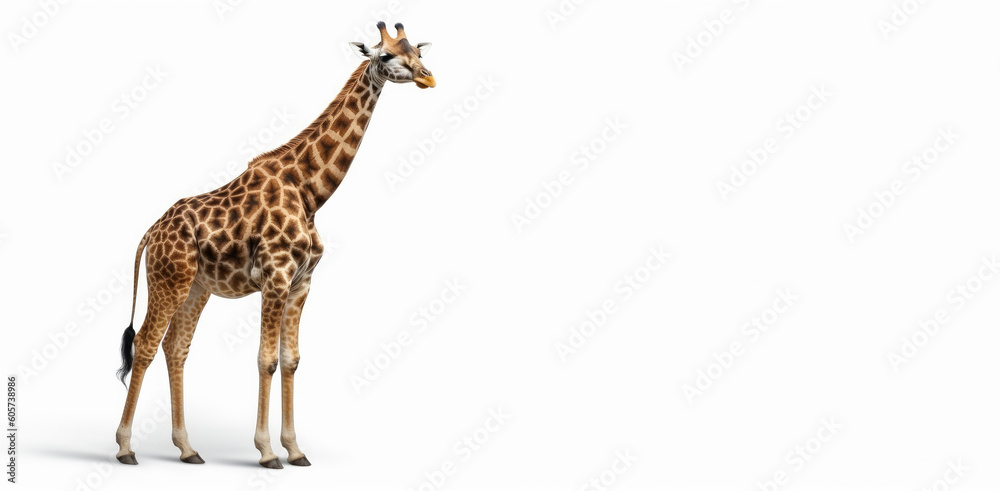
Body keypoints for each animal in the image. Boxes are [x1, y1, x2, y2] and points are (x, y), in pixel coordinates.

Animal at [113, 22, 434, 469]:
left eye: (417, 51)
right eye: (385, 55)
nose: (427, 77)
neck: (310, 193)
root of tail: (150, 232)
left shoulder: (302, 283)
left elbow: (291, 361)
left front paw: (296, 450)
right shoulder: (276, 277)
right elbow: (266, 360)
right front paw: (267, 452)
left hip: (196, 287)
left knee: (176, 348)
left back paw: (188, 448)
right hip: (168, 280)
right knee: (144, 344)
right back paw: (125, 447)